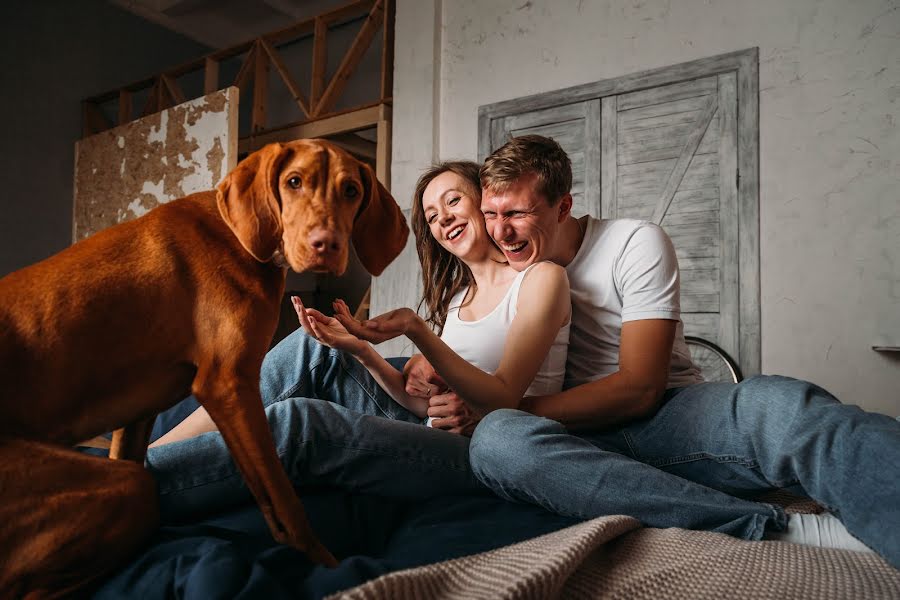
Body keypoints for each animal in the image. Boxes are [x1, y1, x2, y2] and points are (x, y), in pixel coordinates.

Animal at [0, 138, 408, 596]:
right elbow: (284, 500)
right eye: (294, 182)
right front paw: (324, 563)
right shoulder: (229, 385)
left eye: (351, 191)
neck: (242, 237)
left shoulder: (140, 414)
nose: (327, 245)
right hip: (114, 486)